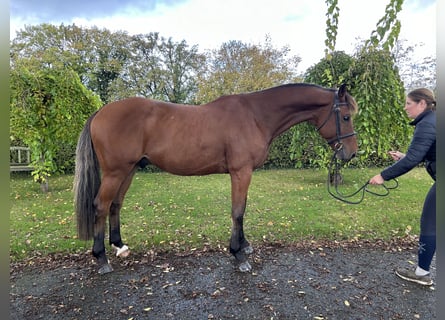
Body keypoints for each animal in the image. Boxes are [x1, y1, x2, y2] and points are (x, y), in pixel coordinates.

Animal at [73, 82, 358, 272]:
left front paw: (244, 245)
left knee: (115, 204)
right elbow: (238, 211)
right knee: (100, 205)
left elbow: (243, 209)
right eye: (345, 116)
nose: (352, 154)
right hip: (115, 172)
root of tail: (100, 112)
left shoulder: (244, 173)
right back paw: (101, 259)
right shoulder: (241, 172)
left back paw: (119, 246)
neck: (255, 115)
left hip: (129, 170)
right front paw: (238, 255)